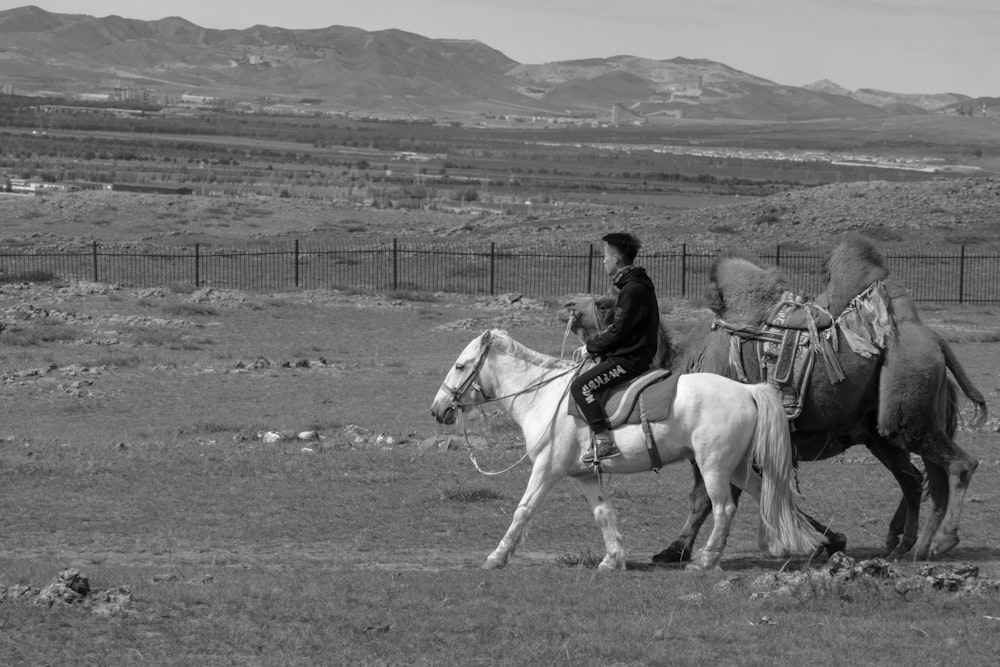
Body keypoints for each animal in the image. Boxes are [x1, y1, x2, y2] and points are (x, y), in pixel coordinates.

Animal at [426, 332, 824, 572]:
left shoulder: (546, 470)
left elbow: (523, 510)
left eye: (460, 365)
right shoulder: (584, 475)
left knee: (724, 508)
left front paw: (497, 557)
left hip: (713, 468)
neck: (543, 396)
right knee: (767, 495)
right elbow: (604, 513)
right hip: (738, 467)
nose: (437, 409)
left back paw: (706, 561)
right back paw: (799, 541)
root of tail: (747, 391)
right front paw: (613, 558)